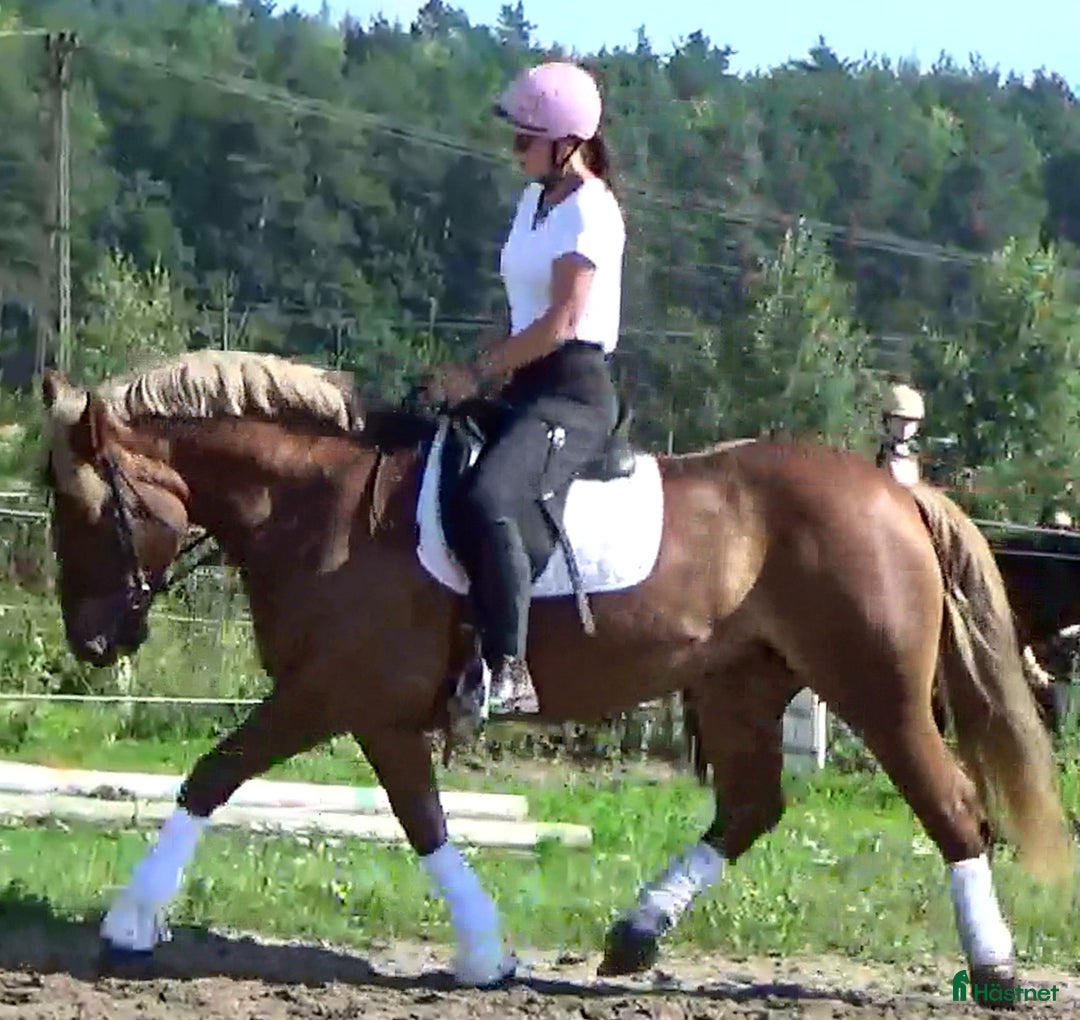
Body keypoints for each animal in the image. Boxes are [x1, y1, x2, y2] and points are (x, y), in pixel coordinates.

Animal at [37, 349, 1072, 996]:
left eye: (85, 508)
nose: (90, 643)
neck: (318, 507)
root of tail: (897, 495)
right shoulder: (379, 715)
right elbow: (424, 821)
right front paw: (488, 954)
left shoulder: (328, 694)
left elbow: (213, 775)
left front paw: (128, 927)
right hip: (740, 683)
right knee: (750, 807)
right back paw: (635, 935)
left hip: (877, 691)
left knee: (954, 809)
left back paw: (995, 968)